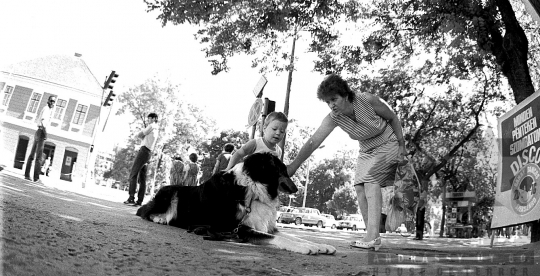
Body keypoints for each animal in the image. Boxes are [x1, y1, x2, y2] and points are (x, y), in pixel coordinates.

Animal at [137, 152, 336, 256]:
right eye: (283, 170)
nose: (296, 189)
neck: (253, 187)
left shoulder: (265, 226)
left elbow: (295, 236)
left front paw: (321, 245)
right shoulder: (241, 228)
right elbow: (279, 239)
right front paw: (307, 247)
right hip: (170, 192)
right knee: (144, 211)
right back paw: (160, 218)